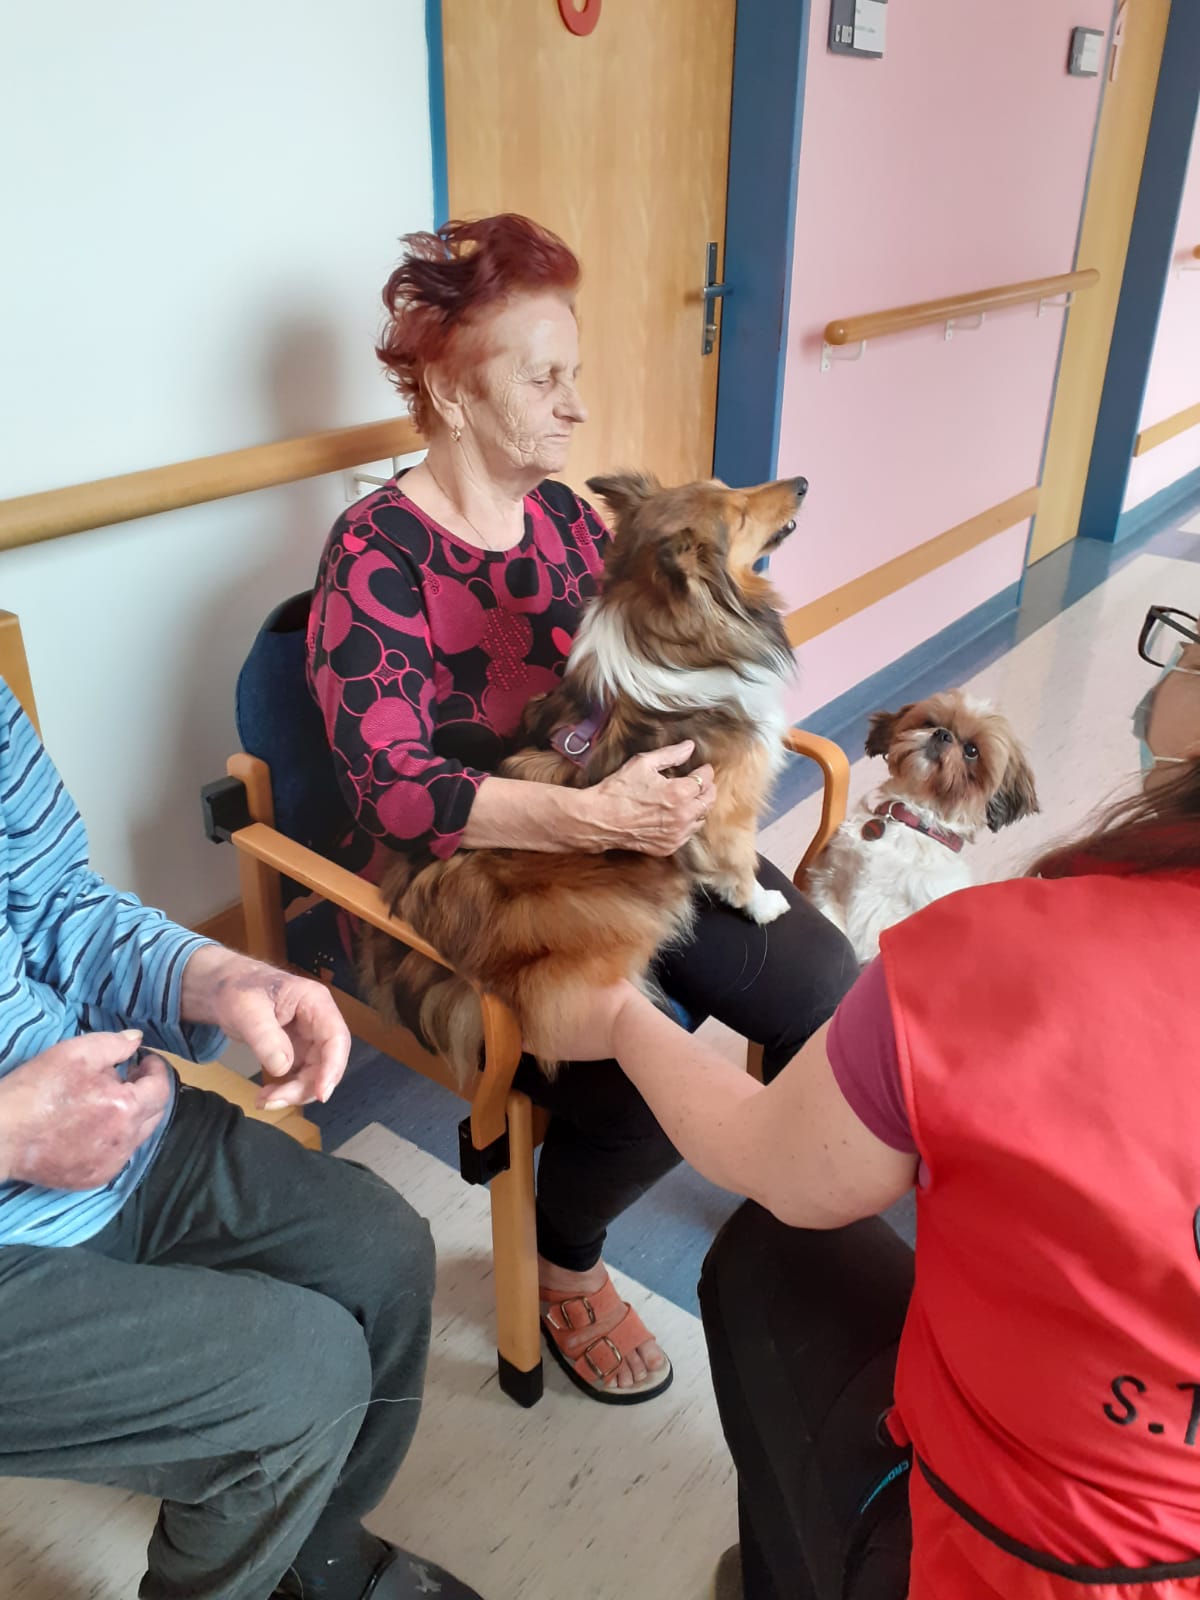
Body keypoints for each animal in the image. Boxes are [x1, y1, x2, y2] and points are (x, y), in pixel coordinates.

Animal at [362, 470, 808, 1081]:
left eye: (726, 486)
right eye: (737, 514)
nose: (803, 482)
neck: (677, 642)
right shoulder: (724, 802)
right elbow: (739, 863)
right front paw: (762, 904)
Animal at [805, 691, 1039, 964]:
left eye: (972, 750)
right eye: (929, 723)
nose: (942, 734)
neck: (912, 820)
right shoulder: (827, 880)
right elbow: (830, 914)